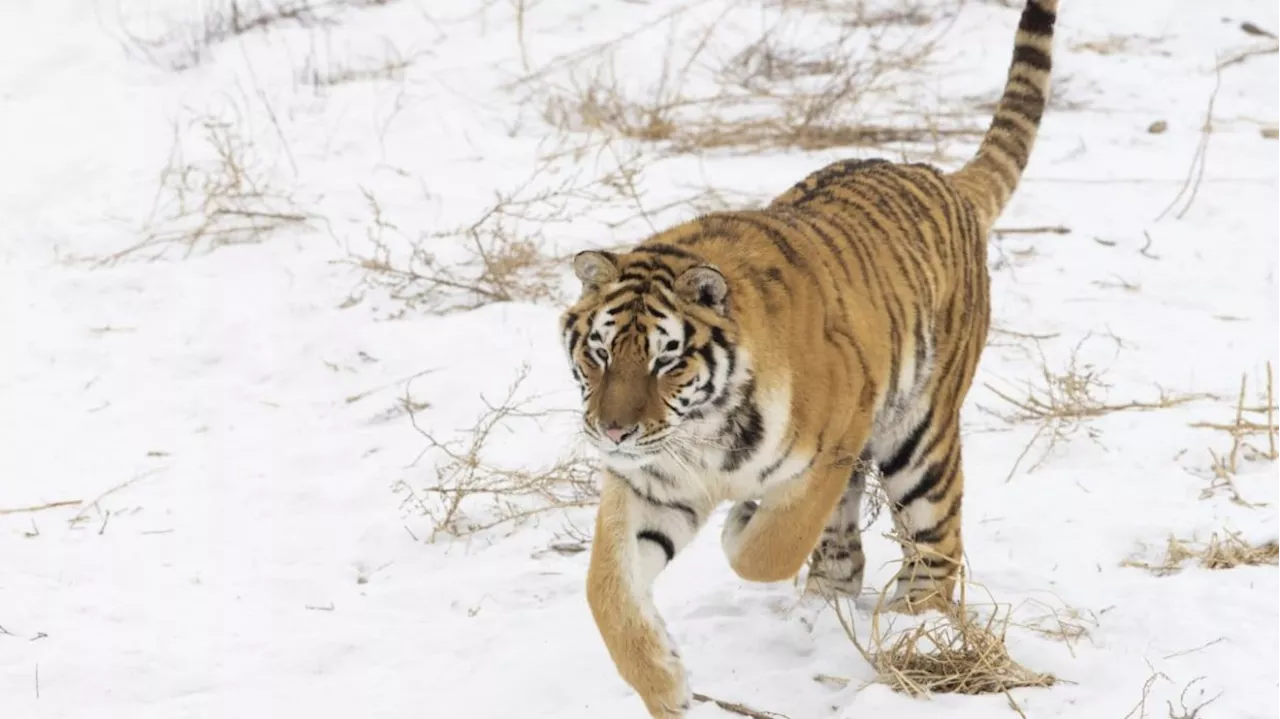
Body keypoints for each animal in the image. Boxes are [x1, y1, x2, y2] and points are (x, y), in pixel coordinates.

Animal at [560, 1, 1059, 711]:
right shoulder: (648, 482)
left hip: (920, 438)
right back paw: (825, 609)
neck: (700, 432)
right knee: (845, 553)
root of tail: (938, 176)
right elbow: (606, 590)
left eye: (665, 360)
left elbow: (769, 546)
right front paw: (667, 686)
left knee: (937, 539)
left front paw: (741, 523)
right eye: (599, 353)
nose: (613, 431)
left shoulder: (836, 437)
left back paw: (916, 627)